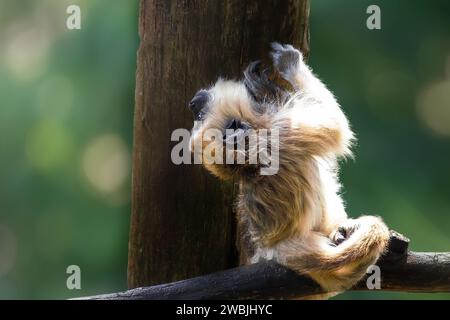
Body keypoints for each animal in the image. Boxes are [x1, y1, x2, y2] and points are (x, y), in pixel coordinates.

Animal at [186, 43, 390, 298]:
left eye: (199, 115)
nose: (193, 104)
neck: (251, 162)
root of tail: (276, 250)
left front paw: (266, 88)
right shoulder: (279, 133)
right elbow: (335, 127)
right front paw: (290, 67)